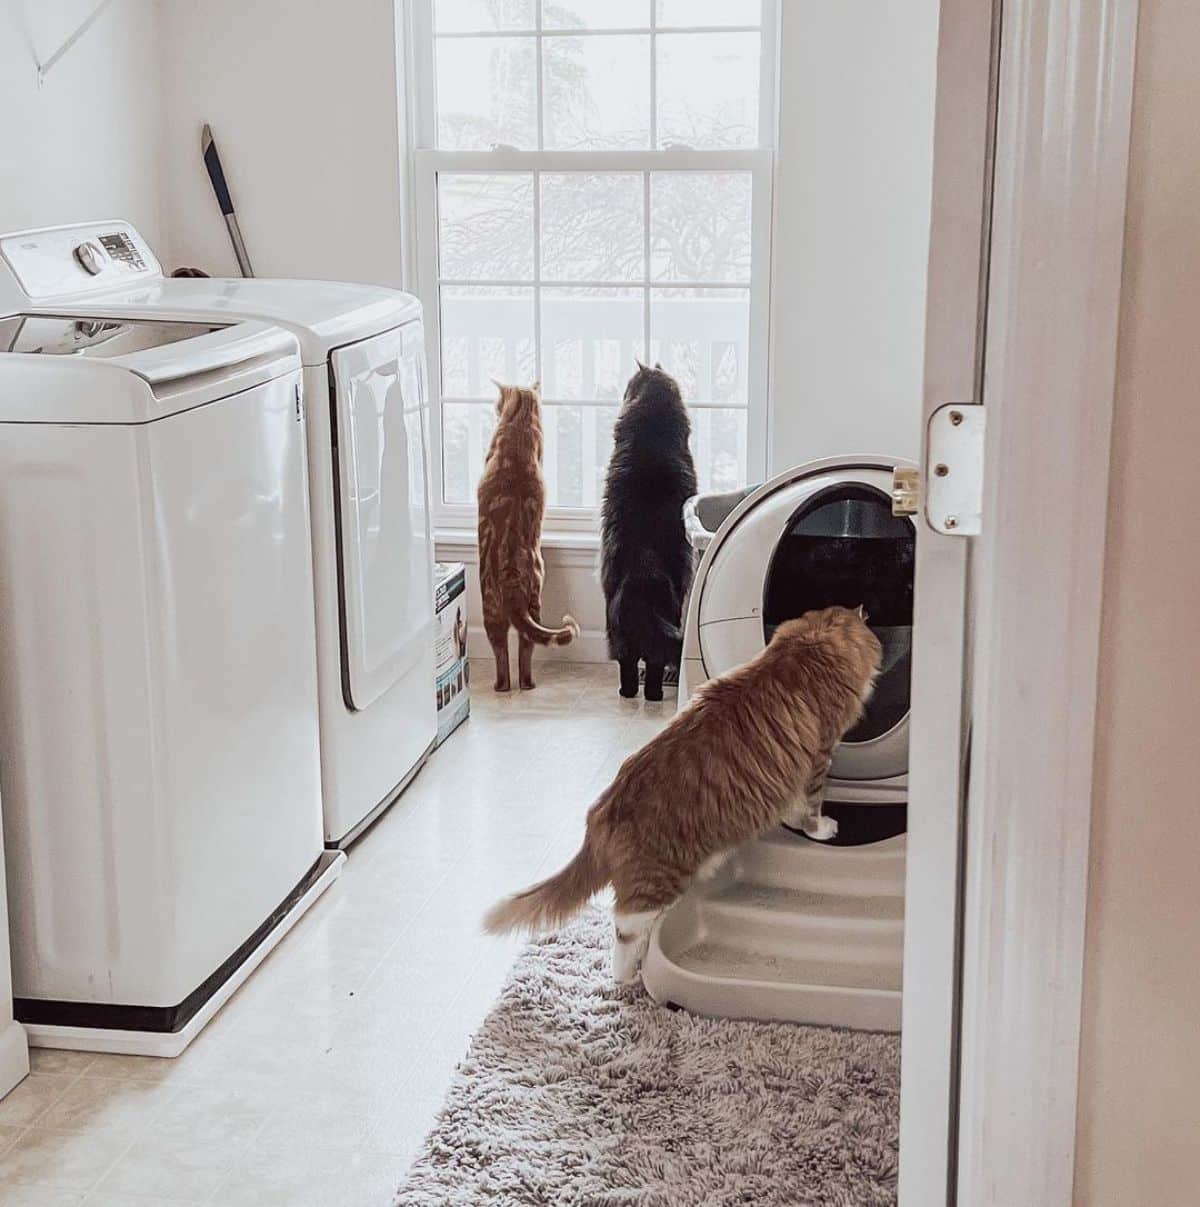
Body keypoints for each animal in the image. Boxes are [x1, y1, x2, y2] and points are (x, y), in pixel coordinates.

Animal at [475, 381, 577, 695]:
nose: (496, 407)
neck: (518, 425)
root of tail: (510, 576)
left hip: (492, 611)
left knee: (506, 657)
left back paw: (504, 686)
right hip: (530, 604)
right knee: (523, 650)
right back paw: (526, 685)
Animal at [603, 364, 695, 700]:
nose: (623, 391)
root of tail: (645, 576)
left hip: (619, 632)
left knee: (636, 667)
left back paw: (634, 693)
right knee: (646, 665)